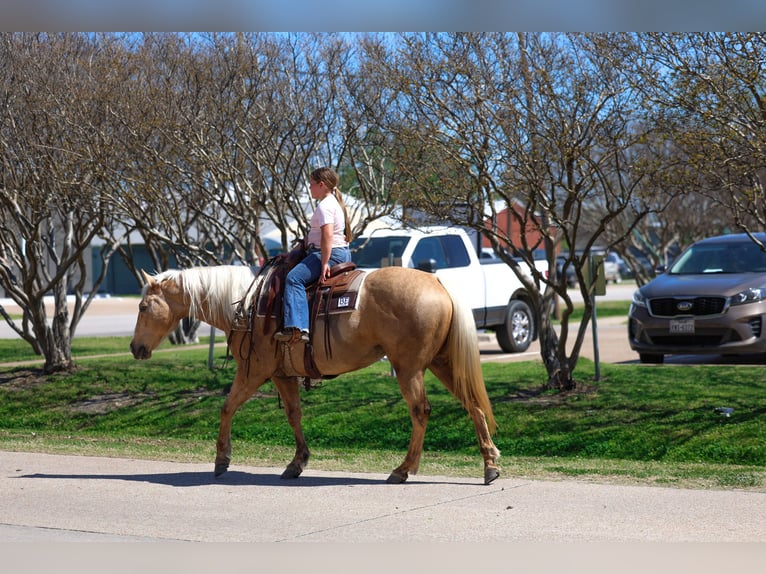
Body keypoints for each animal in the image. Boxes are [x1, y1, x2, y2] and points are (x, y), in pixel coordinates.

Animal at [129, 263, 501, 484]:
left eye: (144, 306)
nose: (135, 348)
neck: (247, 307)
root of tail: (437, 281)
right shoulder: (282, 375)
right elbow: (294, 414)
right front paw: (297, 463)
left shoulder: (253, 371)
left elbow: (227, 407)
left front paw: (222, 459)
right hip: (442, 362)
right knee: (473, 404)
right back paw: (490, 465)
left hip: (409, 368)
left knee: (420, 411)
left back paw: (403, 469)